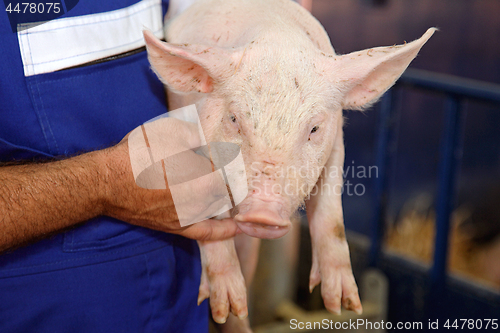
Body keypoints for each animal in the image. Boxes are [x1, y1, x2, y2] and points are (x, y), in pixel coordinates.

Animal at [142, 0, 434, 326]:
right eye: (234, 119)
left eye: (314, 128)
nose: (263, 213)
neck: (274, 33)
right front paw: (225, 305)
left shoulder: (336, 144)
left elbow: (332, 214)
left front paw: (343, 305)